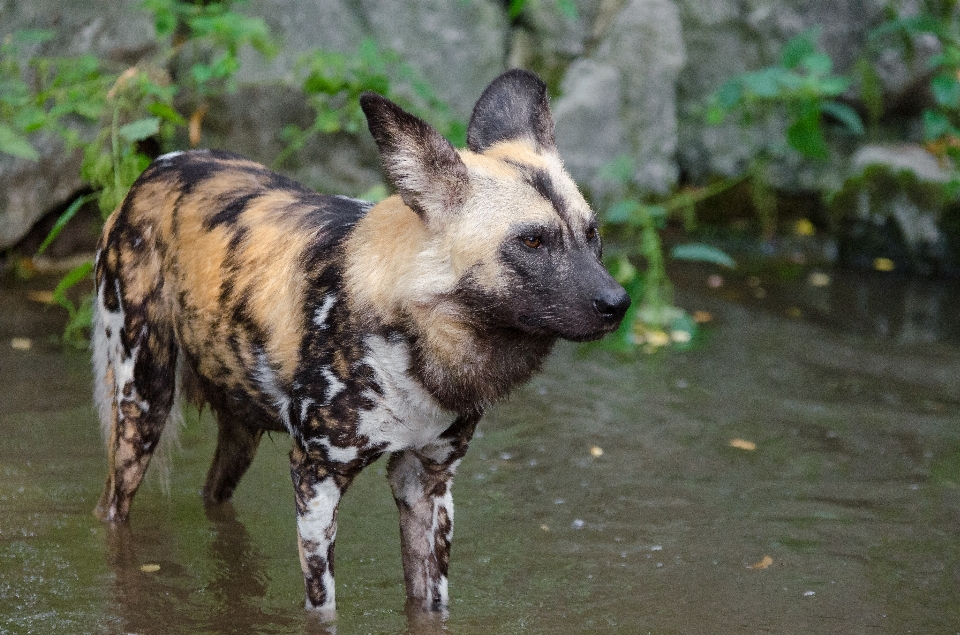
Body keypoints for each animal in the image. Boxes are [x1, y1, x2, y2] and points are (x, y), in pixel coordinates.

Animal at [92, 69, 632, 616]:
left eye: (592, 234)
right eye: (532, 241)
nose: (618, 303)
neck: (417, 342)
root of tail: (161, 164)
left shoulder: (427, 484)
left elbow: (430, 602)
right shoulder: (316, 480)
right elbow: (323, 603)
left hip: (238, 428)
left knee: (214, 496)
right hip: (143, 405)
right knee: (113, 506)